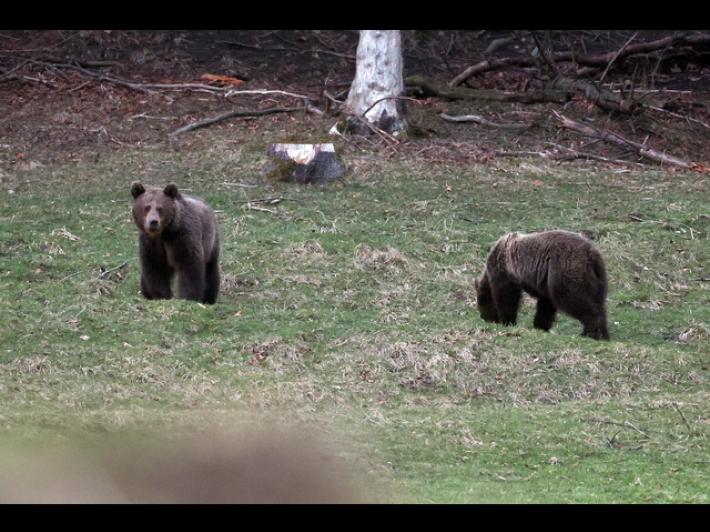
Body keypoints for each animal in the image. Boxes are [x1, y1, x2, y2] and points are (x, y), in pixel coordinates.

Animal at [474, 230, 609, 340]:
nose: (484, 318)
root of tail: (593, 256)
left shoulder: (505, 271)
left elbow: (507, 297)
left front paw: (508, 321)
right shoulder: (544, 283)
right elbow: (545, 305)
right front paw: (540, 326)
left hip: (565, 269)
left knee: (573, 298)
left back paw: (591, 331)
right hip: (598, 279)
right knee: (599, 303)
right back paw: (602, 333)